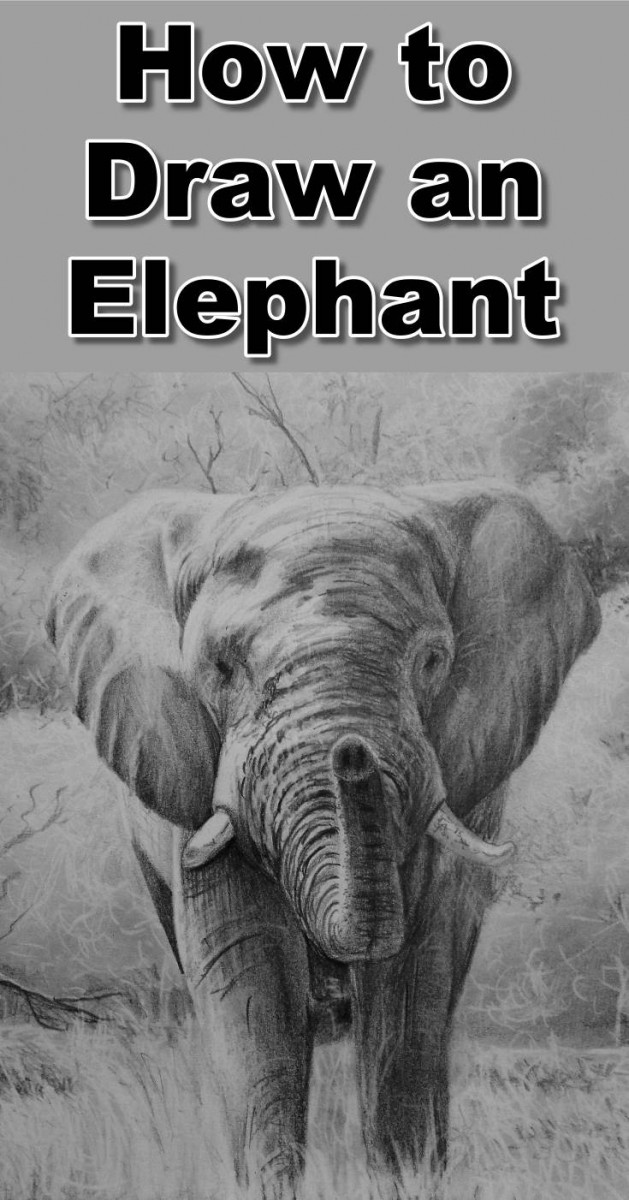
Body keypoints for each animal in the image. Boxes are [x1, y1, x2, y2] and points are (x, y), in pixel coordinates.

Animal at [46, 481, 600, 1197]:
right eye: (220, 667)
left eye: (433, 660)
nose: (351, 750)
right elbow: (250, 967)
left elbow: (413, 973)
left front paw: (407, 1180)